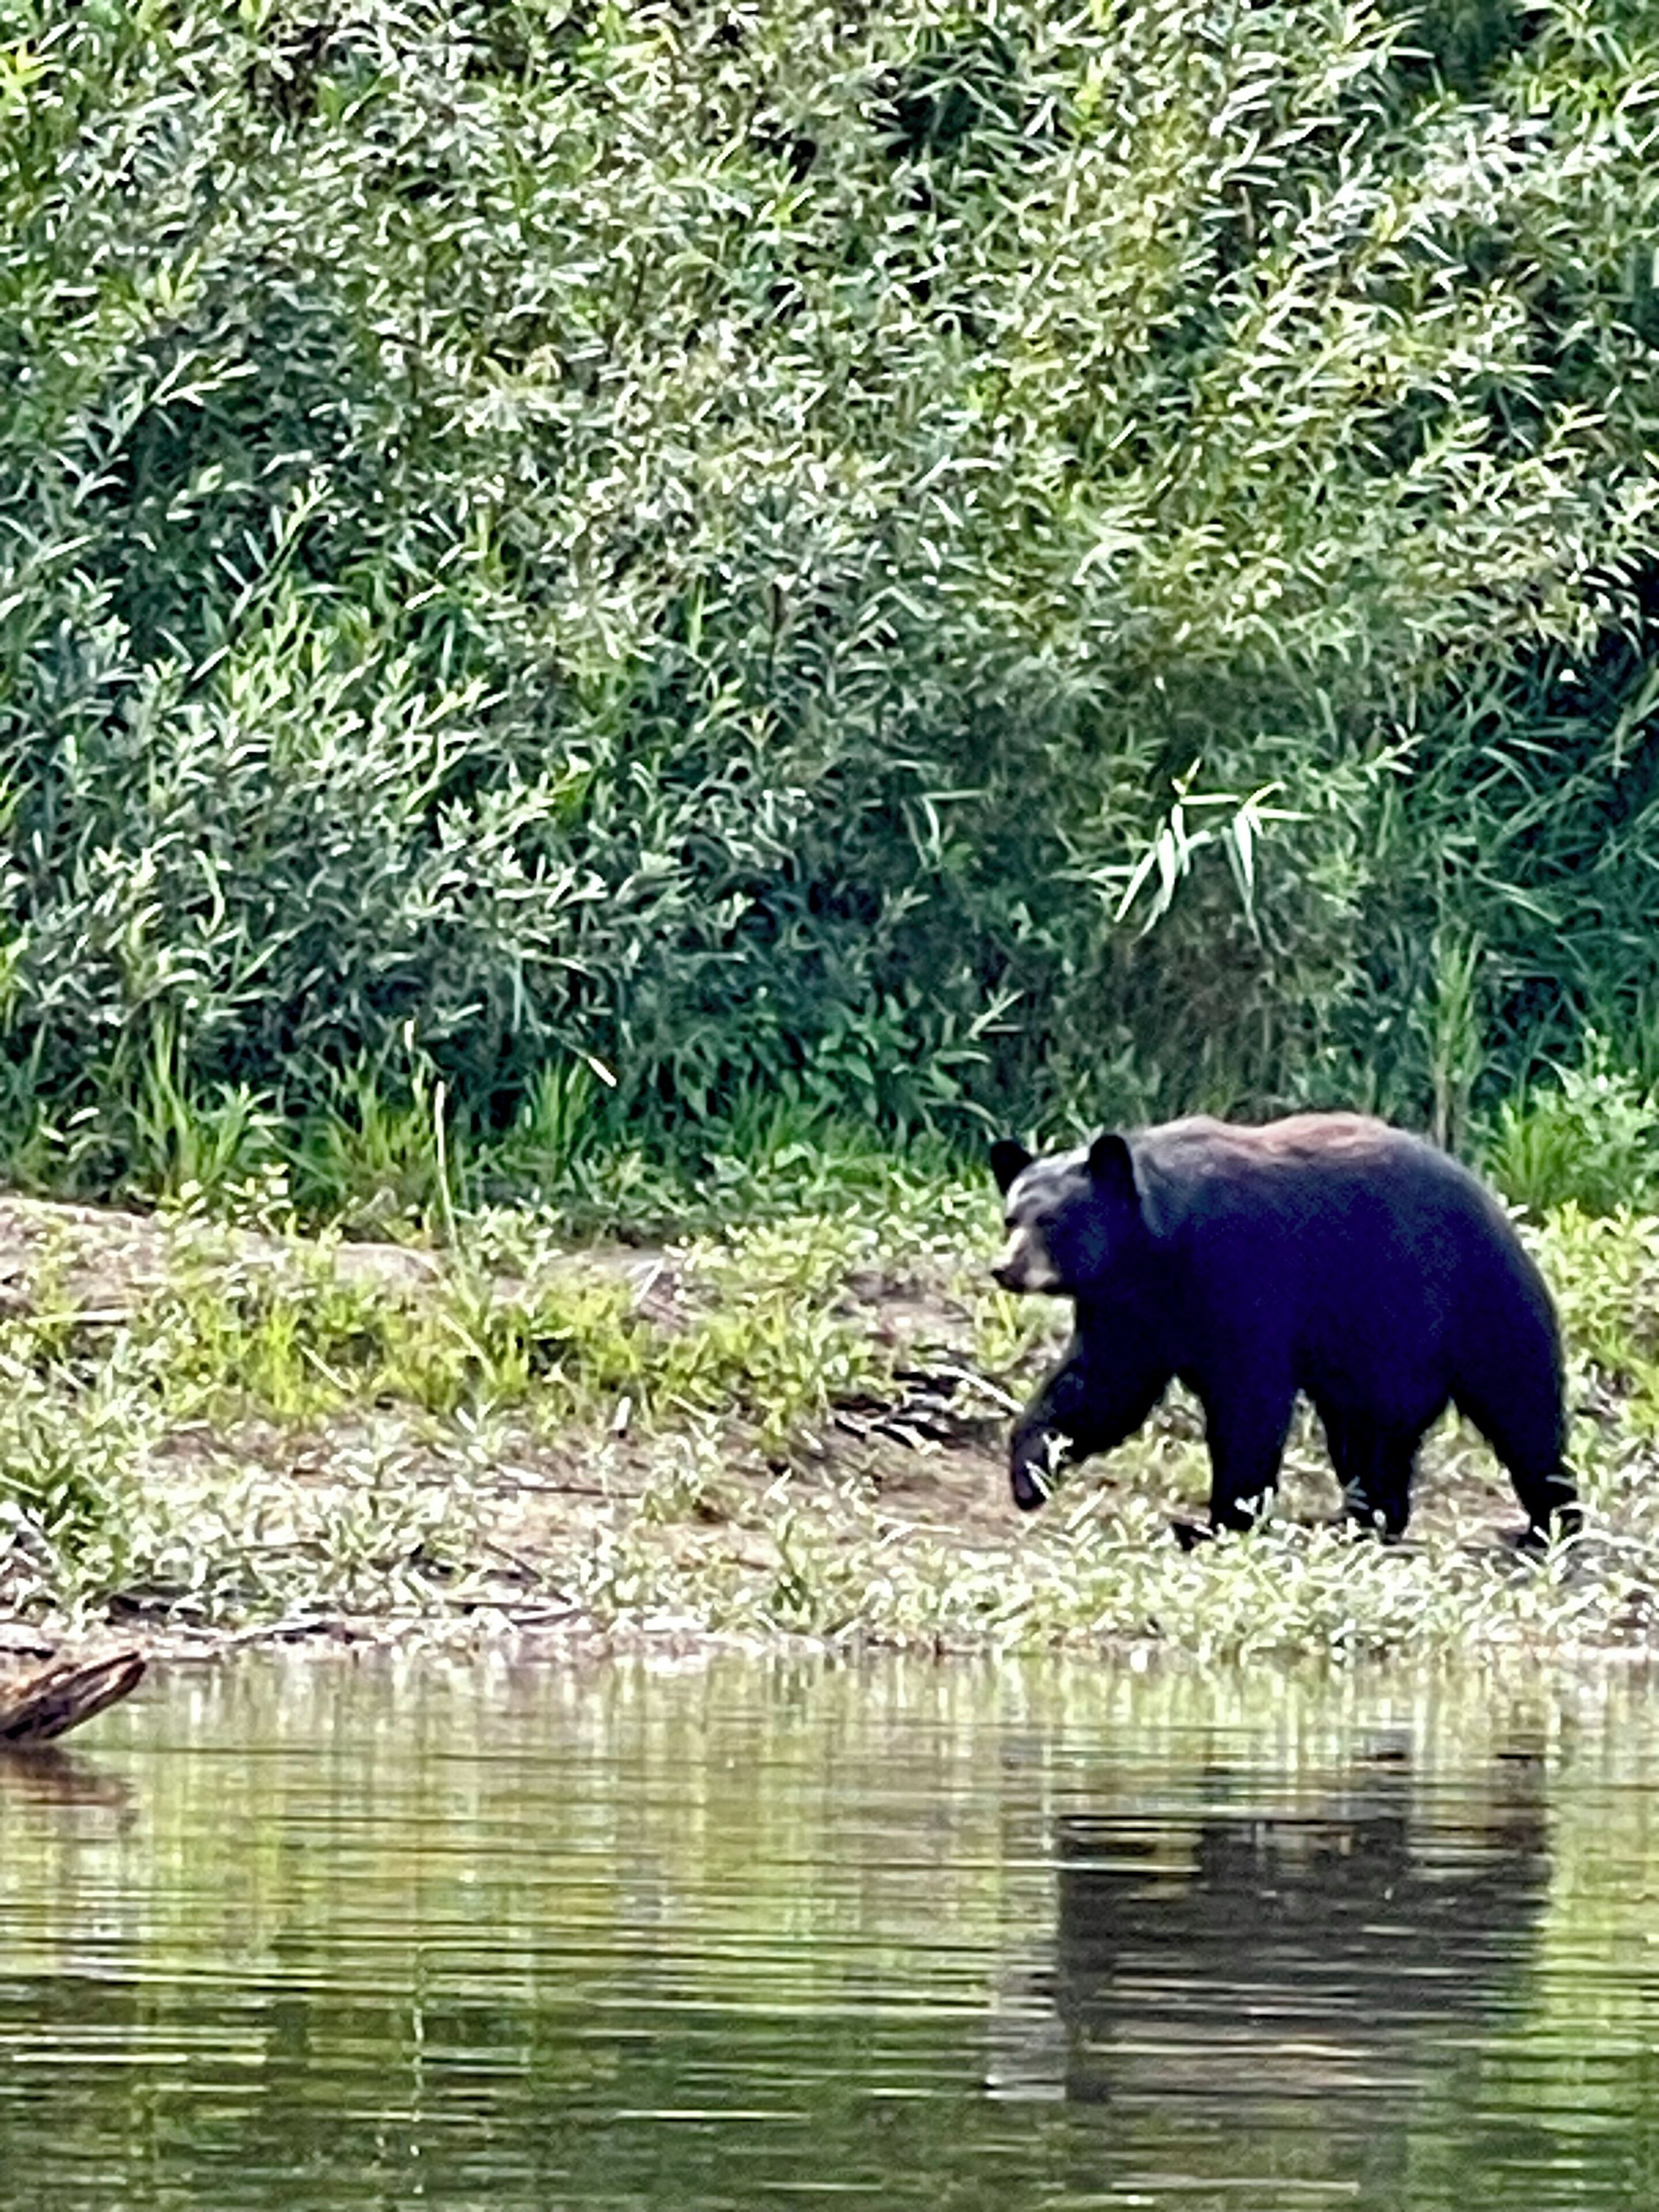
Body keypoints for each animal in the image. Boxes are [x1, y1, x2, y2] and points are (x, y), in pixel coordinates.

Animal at [988, 1113, 1580, 1547]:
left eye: (1053, 1222)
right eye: (1011, 1218)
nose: (1004, 1268)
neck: (1156, 1252)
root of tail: (1497, 1208)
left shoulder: (1243, 1275)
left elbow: (1250, 1399)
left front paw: (1222, 1520)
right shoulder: (1129, 1310)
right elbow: (1100, 1388)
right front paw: (1030, 1472)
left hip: (1460, 1302)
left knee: (1518, 1408)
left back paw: (1546, 1524)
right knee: (1363, 1430)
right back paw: (1361, 1518)